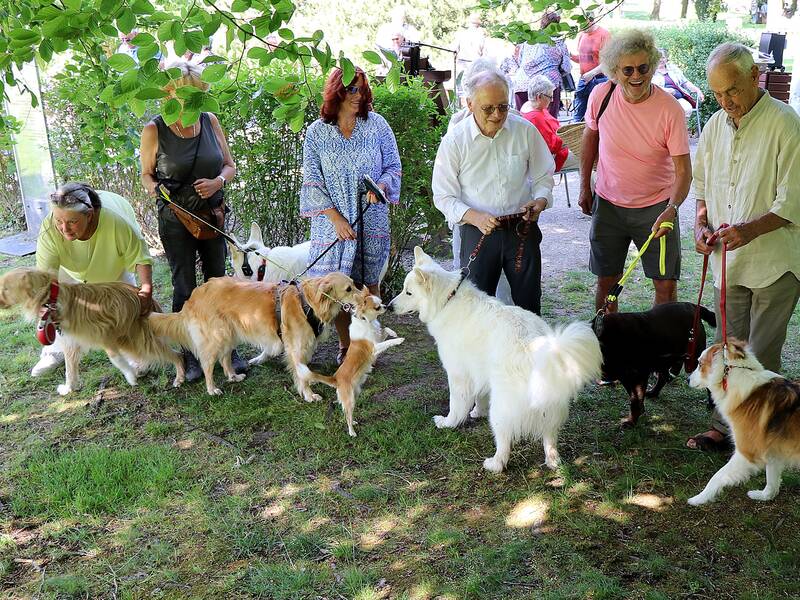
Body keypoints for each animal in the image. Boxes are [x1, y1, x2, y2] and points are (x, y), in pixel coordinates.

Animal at [0, 270, 184, 396]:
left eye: (6, 289)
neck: (51, 298)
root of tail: (145, 296)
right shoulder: (71, 344)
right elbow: (70, 371)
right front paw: (69, 389)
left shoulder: (105, 337)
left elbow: (116, 360)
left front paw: (130, 376)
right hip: (128, 340)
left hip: (137, 338)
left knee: (176, 355)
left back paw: (179, 376)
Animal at [152, 274, 358, 398]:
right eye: (348, 289)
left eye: (354, 285)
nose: (365, 297)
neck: (307, 302)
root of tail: (194, 295)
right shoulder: (296, 348)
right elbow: (302, 374)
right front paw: (309, 395)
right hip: (216, 337)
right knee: (207, 364)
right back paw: (212, 389)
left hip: (229, 335)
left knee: (225, 358)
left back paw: (233, 376)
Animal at [296, 288, 404, 436]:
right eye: (377, 307)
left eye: (381, 302)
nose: (386, 306)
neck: (366, 321)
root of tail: (335, 378)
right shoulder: (374, 348)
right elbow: (388, 343)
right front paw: (398, 340)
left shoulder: (378, 339)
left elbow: (385, 330)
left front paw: (393, 333)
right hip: (350, 399)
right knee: (347, 414)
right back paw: (351, 431)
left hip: (356, 393)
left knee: (347, 412)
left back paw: (353, 422)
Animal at [388, 248, 600, 474]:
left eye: (408, 293)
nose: (389, 307)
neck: (447, 301)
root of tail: (535, 349)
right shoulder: (479, 372)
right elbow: (480, 396)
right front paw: (476, 412)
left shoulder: (458, 374)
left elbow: (456, 404)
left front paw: (448, 423)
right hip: (549, 409)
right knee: (549, 438)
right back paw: (553, 461)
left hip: (500, 409)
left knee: (504, 442)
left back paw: (494, 464)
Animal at [688, 340, 800, 504]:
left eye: (700, 364)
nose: (687, 380)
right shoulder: (772, 449)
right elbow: (771, 478)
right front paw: (765, 496)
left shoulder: (745, 452)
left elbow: (717, 476)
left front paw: (700, 498)